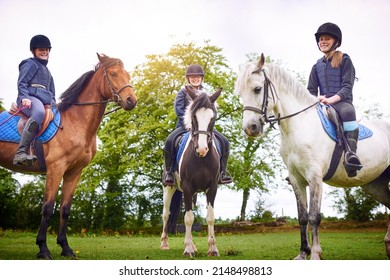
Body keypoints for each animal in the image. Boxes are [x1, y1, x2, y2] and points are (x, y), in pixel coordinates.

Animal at [0, 52, 137, 258]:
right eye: (113, 74)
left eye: (127, 74)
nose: (131, 100)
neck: (76, 121)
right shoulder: (56, 169)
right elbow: (48, 208)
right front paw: (43, 249)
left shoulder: (74, 172)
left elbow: (65, 209)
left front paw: (65, 247)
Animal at [161, 86, 222, 258]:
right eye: (193, 116)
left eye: (212, 118)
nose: (202, 149)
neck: (201, 159)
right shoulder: (187, 187)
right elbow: (188, 218)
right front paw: (187, 249)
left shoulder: (212, 188)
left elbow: (210, 217)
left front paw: (213, 248)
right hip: (169, 188)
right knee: (166, 214)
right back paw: (165, 243)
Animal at [235, 53, 390, 260]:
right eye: (240, 94)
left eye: (257, 89)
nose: (250, 128)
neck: (298, 126)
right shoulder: (296, 179)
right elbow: (302, 217)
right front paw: (303, 253)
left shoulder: (314, 177)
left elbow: (314, 216)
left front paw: (316, 254)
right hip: (375, 185)